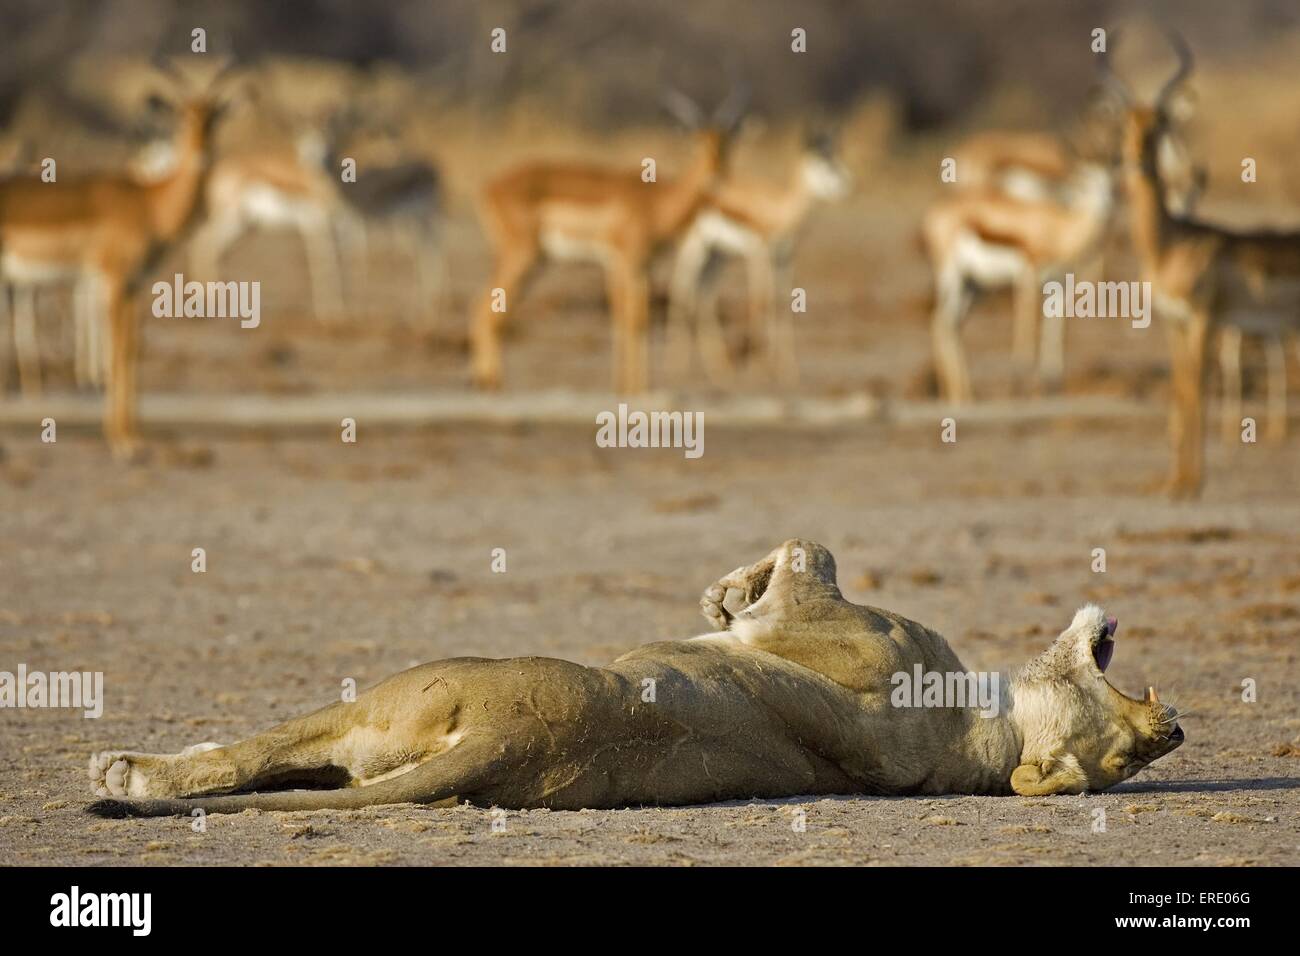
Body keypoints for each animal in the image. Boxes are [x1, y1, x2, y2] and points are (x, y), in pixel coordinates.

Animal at [86, 541, 1185, 816]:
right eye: (1132, 746)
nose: (1173, 726)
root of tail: (517, 741)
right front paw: (720, 595)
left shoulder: (827, 616)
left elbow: (805, 553)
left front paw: (727, 594)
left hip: (393, 694)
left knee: (248, 754)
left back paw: (126, 771)